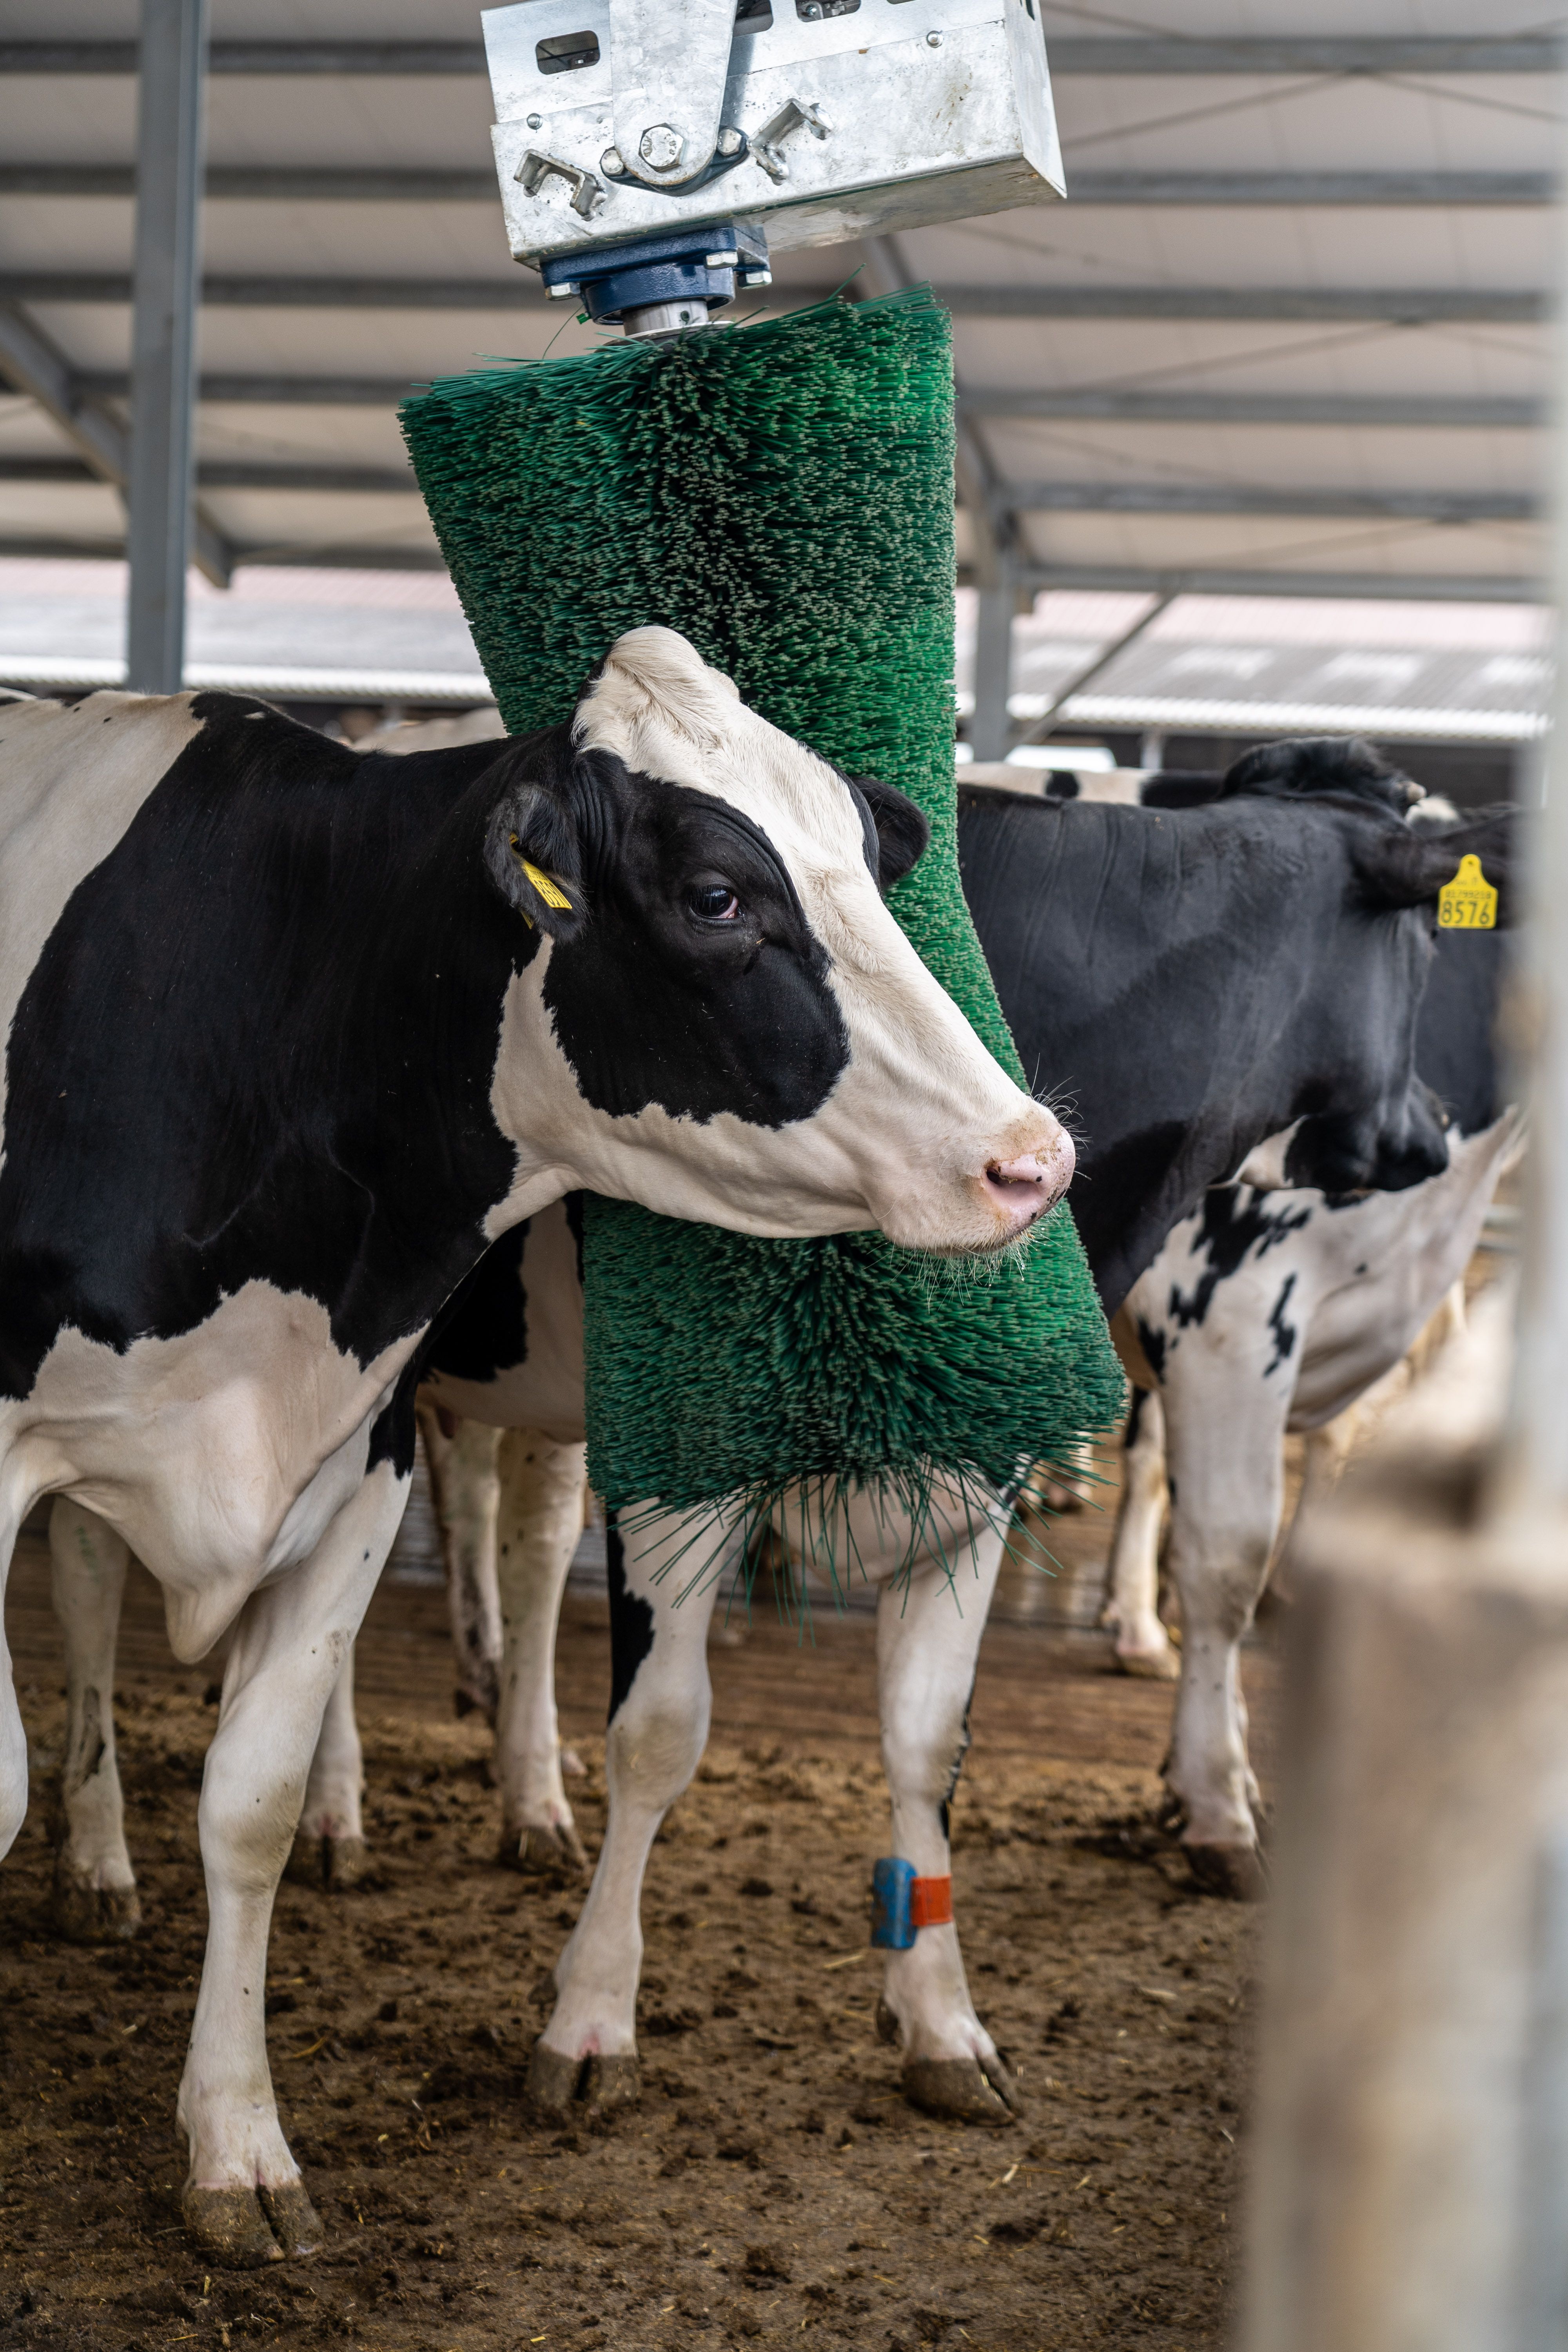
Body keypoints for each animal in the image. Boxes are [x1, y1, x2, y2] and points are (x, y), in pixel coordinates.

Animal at [0, 635, 1081, 2267]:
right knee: (79, 1597)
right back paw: (102, 1863)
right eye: (717, 894)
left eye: (863, 851)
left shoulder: (360, 1447)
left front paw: (239, 2149)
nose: (1029, 1157)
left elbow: (250, 1803)